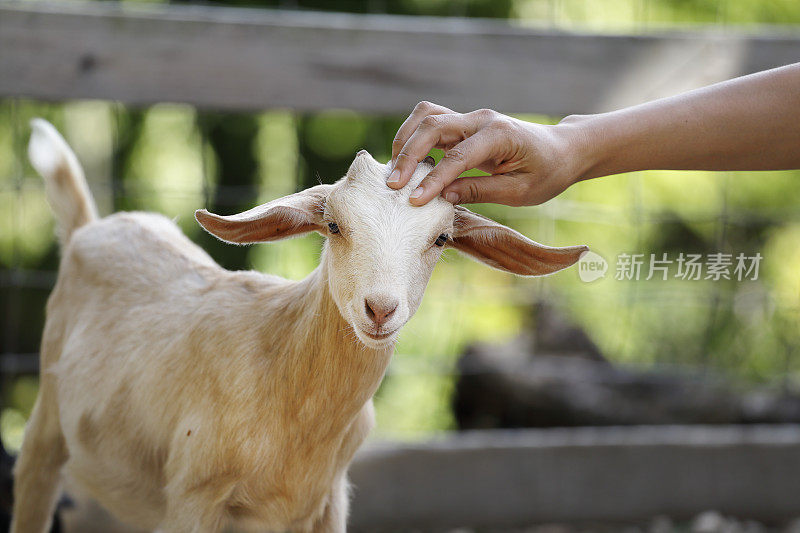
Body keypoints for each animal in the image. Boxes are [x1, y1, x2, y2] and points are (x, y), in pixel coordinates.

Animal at [12, 120, 588, 532]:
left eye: (442, 238)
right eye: (333, 224)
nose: (380, 309)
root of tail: (88, 227)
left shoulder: (325, 505)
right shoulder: (193, 494)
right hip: (44, 431)